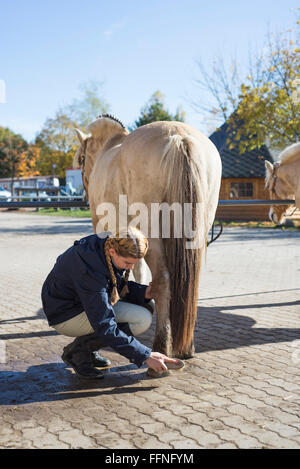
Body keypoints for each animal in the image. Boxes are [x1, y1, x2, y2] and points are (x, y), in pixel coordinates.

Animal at [74, 114, 221, 358]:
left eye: (80, 158)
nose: (83, 196)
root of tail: (178, 136)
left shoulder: (104, 227)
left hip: (152, 230)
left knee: (162, 280)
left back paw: (161, 345)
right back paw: (186, 346)